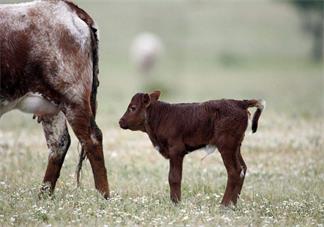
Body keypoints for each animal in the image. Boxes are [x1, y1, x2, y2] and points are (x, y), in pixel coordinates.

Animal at [0, 0, 109, 199]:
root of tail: (70, 8)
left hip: (73, 99)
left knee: (92, 139)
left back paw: (103, 196)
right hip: (51, 106)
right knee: (59, 143)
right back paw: (43, 196)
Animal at [120, 90, 264, 206]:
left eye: (133, 107)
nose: (120, 121)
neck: (160, 117)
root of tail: (240, 103)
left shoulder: (176, 151)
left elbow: (174, 177)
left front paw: (176, 203)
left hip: (226, 146)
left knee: (235, 171)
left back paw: (224, 205)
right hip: (236, 146)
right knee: (243, 168)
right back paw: (232, 204)